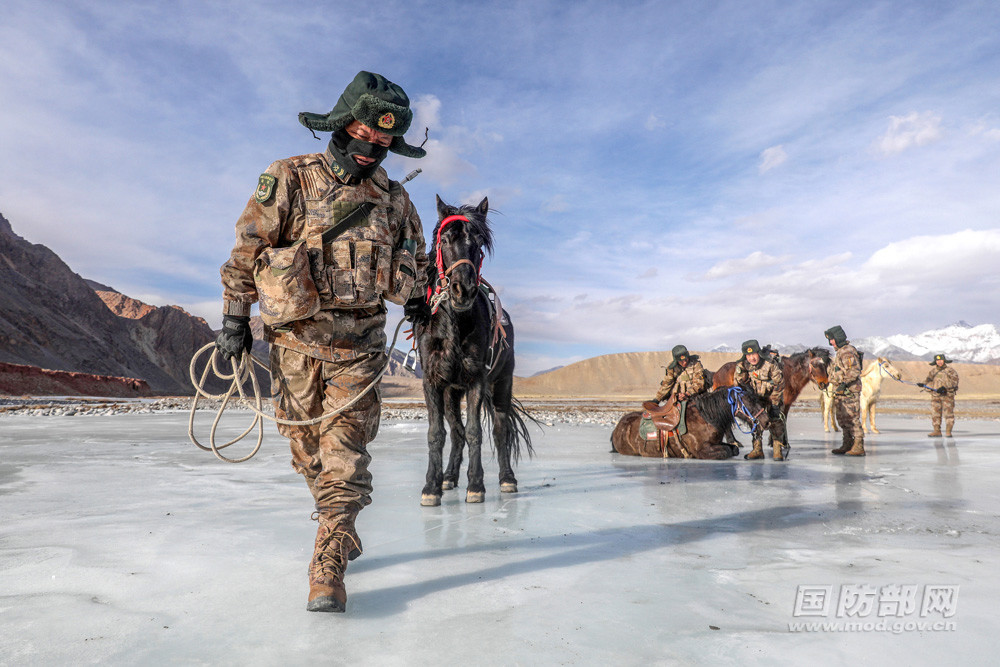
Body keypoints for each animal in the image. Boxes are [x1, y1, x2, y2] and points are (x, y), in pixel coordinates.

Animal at [414, 196, 536, 508]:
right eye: (445, 239)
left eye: (479, 242)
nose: (463, 290)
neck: (454, 323)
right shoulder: (432, 381)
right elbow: (437, 433)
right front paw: (431, 487)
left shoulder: (477, 379)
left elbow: (475, 432)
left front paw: (476, 486)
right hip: (451, 392)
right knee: (455, 433)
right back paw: (448, 477)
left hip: (502, 383)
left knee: (500, 429)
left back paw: (507, 479)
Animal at [604, 386, 768, 460]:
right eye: (749, 400)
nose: (766, 421)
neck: (707, 417)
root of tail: (617, 429)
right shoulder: (702, 450)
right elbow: (726, 451)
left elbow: (734, 449)